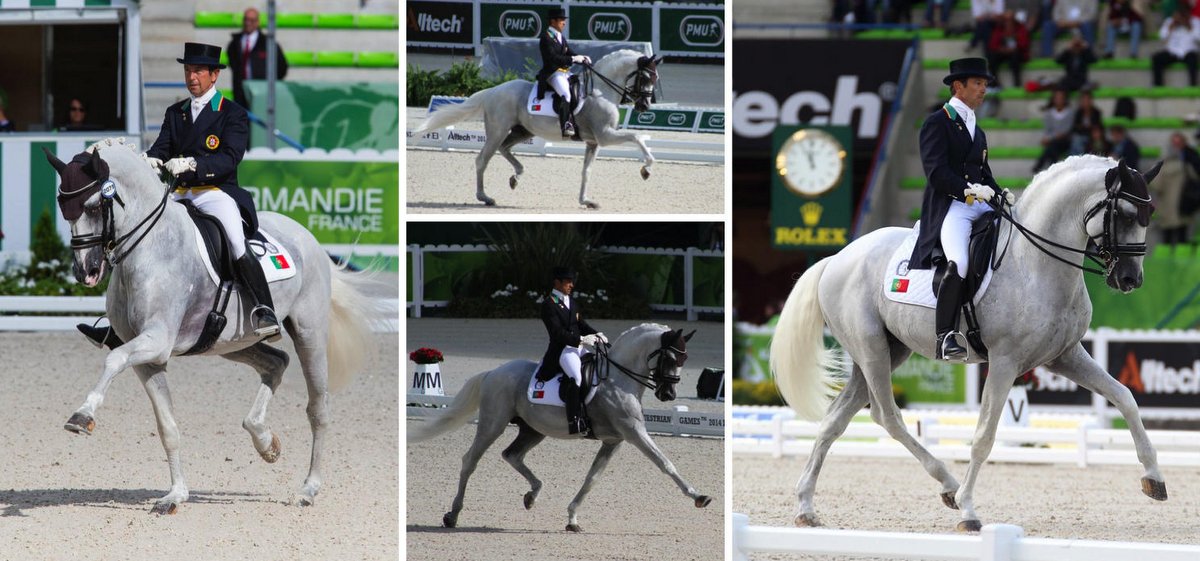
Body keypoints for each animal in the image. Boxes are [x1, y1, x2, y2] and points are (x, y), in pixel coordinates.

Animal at [44, 137, 376, 513]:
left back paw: (308, 489)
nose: (85, 271)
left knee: (318, 407)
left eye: (94, 206)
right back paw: (265, 441)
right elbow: (167, 427)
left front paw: (81, 416)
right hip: (233, 342)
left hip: (309, 333)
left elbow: (113, 359)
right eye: (64, 208)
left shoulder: (156, 340)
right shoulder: (147, 357)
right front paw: (175, 496)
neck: (150, 247)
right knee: (276, 363)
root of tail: (309, 237)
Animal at [410, 48, 657, 208]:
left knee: (504, 149)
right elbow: (636, 136)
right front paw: (646, 169)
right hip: (498, 131)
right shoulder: (605, 136)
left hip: (522, 131)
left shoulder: (593, 142)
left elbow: (586, 172)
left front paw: (586, 201)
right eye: (645, 77)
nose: (644, 106)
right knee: (482, 159)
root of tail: (492, 91)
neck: (600, 91)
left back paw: (516, 177)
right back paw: (485, 198)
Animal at [412, 321, 710, 532]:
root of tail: (493, 371)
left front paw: (572, 518)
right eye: (670, 358)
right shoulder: (634, 433)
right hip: (492, 424)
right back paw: (452, 515)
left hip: (533, 429)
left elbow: (592, 479)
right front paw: (698, 497)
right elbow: (665, 463)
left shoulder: (614, 440)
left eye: (683, 360)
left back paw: (532, 495)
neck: (617, 378)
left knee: (512, 455)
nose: (668, 395)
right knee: (470, 461)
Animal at [768, 155, 1161, 532]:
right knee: (887, 416)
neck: (1034, 263)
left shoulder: (1064, 355)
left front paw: (1153, 478)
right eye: (1125, 214)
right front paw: (969, 510)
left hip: (889, 351)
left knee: (835, 418)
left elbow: (1124, 397)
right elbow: (984, 436)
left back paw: (806, 507)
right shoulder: (1004, 362)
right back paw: (950, 487)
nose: (1131, 279)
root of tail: (836, 258)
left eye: (1148, 214)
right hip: (871, 350)